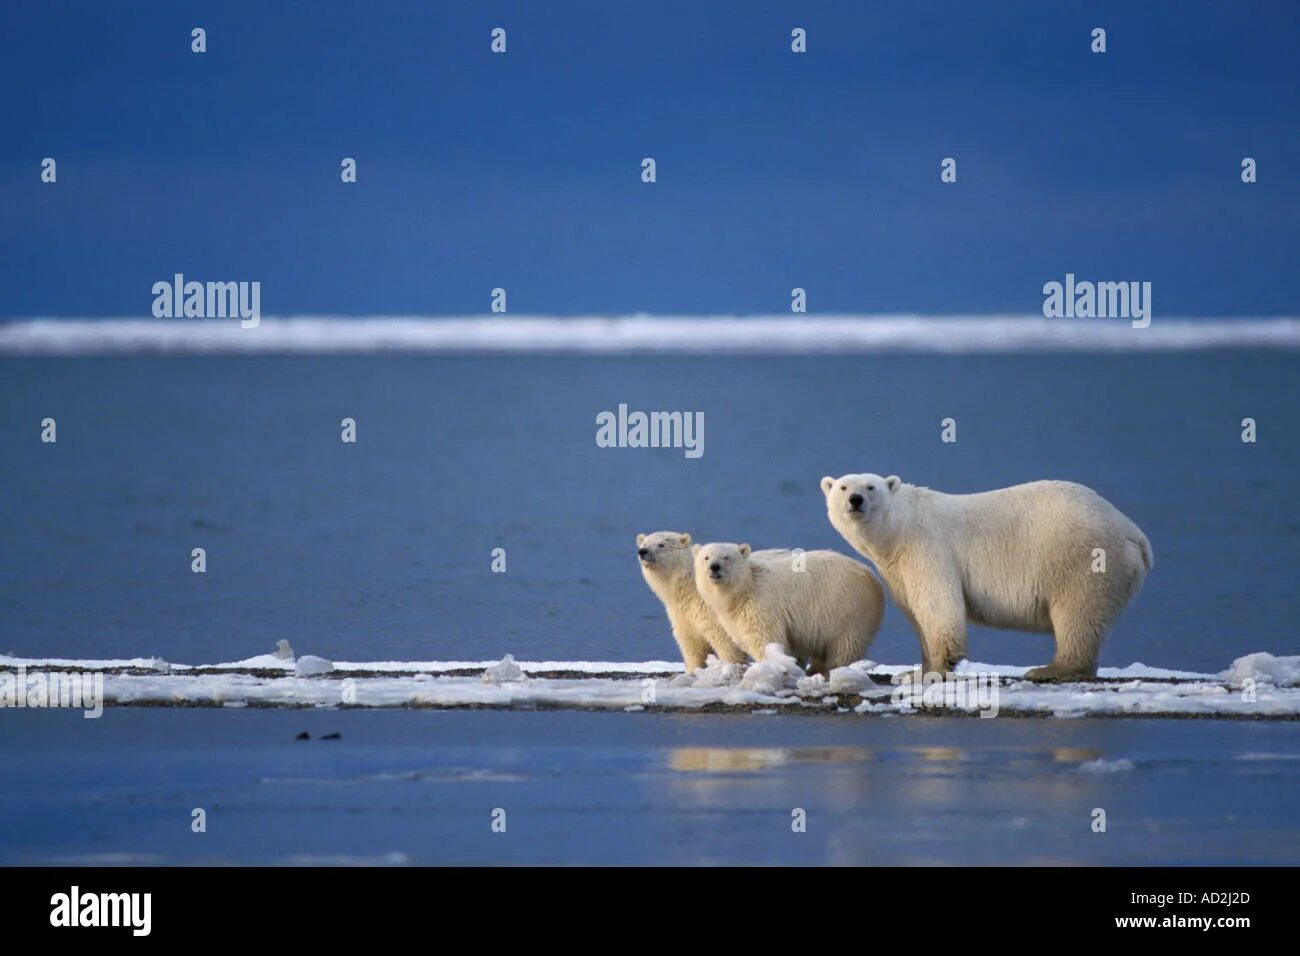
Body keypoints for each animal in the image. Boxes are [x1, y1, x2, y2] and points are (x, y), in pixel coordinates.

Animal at [816, 473, 1154, 681]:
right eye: (843, 487)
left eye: (870, 487)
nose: (855, 499)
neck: (899, 529)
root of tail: (1135, 534)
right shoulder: (897, 570)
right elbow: (916, 612)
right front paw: (916, 670)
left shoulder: (927, 548)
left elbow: (938, 606)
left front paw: (929, 672)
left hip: (1082, 559)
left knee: (1077, 613)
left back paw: (1050, 668)